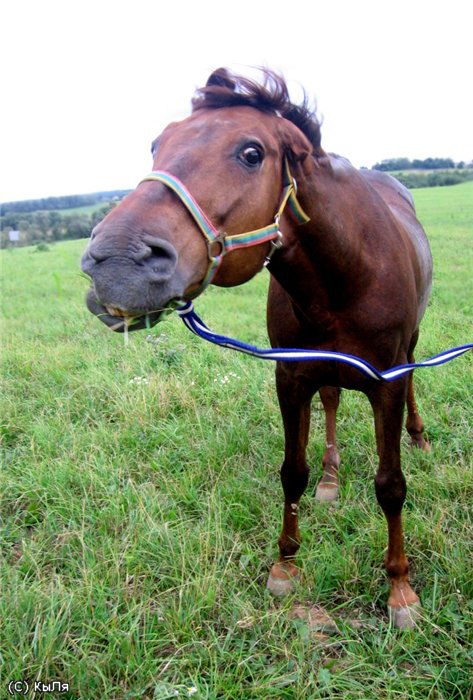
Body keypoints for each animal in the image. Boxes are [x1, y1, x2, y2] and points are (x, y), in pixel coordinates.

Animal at [80, 68, 432, 628]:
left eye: (251, 152)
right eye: (157, 144)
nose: (112, 262)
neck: (348, 274)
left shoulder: (386, 383)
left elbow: (391, 485)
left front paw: (400, 589)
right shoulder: (291, 376)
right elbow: (292, 473)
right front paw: (285, 565)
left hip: (410, 351)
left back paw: (418, 436)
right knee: (331, 402)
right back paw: (331, 478)